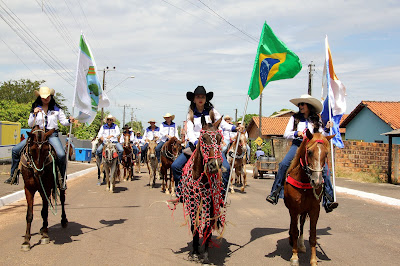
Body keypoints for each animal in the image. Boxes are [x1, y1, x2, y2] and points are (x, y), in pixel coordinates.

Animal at [178, 117, 225, 264]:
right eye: (203, 138)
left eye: (219, 139)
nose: (214, 165)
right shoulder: (192, 201)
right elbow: (194, 225)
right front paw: (194, 251)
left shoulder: (210, 202)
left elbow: (207, 226)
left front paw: (205, 254)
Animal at [282, 130, 336, 264]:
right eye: (310, 152)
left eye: (326, 154)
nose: (317, 181)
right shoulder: (294, 209)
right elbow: (294, 231)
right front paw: (294, 257)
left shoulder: (314, 210)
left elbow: (312, 235)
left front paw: (313, 260)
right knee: (294, 226)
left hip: (304, 211)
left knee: (301, 225)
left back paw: (301, 245)